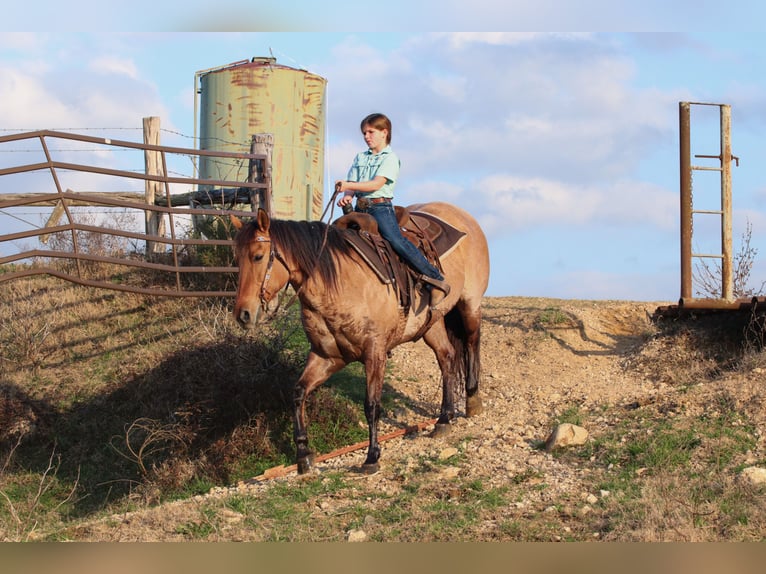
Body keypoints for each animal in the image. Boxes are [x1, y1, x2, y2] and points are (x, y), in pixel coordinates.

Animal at [231, 205, 488, 474]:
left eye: (258, 256)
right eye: (237, 259)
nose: (243, 314)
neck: (339, 283)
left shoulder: (375, 353)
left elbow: (372, 404)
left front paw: (372, 456)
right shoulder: (327, 357)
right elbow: (298, 393)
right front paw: (303, 453)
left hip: (469, 305)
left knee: (472, 342)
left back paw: (472, 401)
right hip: (432, 324)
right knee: (447, 357)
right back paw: (444, 418)